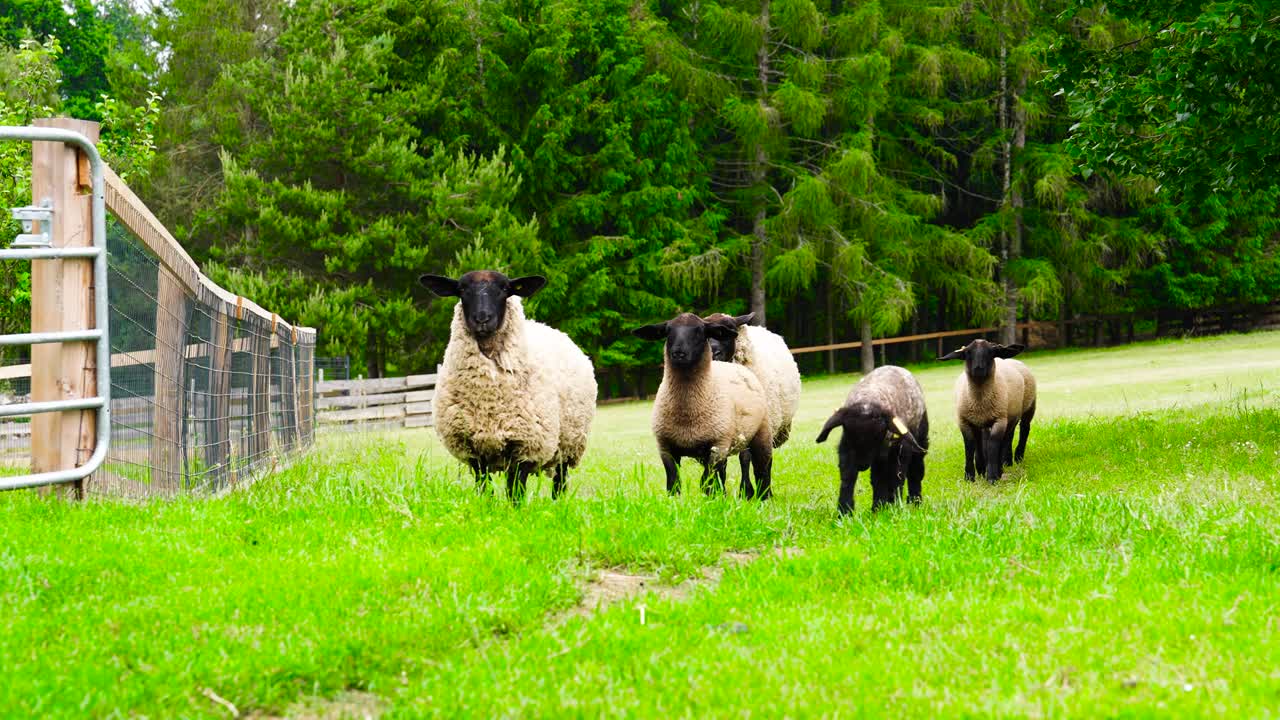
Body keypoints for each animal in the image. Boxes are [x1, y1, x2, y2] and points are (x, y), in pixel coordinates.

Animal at [419, 267, 599, 499]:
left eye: (504, 289)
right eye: (462, 290)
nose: (482, 318)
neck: (489, 399)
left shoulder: (525, 445)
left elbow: (515, 492)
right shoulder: (473, 449)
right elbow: (484, 490)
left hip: (569, 443)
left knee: (560, 481)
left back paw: (558, 503)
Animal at [629, 311, 768, 497]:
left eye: (700, 331)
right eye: (668, 331)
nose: (678, 353)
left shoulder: (718, 446)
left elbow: (707, 482)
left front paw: (712, 499)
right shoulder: (666, 448)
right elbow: (674, 482)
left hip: (759, 432)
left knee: (759, 466)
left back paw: (761, 495)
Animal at [701, 311, 798, 497]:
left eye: (729, 331)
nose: (713, 353)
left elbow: (745, 458)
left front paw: (746, 491)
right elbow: (719, 460)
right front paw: (717, 492)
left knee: (766, 457)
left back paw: (765, 490)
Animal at [819, 366, 931, 512]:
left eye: (879, 434)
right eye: (847, 431)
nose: (862, 465)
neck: (868, 400)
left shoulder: (897, 450)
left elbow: (895, 477)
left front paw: (890, 507)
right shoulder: (847, 449)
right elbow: (849, 477)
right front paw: (845, 511)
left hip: (919, 438)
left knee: (915, 470)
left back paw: (914, 501)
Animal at [936, 335, 1034, 481]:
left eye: (991, 352)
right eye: (967, 353)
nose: (978, 369)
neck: (979, 402)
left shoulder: (999, 420)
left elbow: (993, 445)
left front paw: (992, 476)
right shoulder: (965, 421)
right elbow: (970, 446)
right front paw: (970, 476)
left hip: (1027, 407)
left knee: (1022, 430)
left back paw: (1014, 458)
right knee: (999, 439)